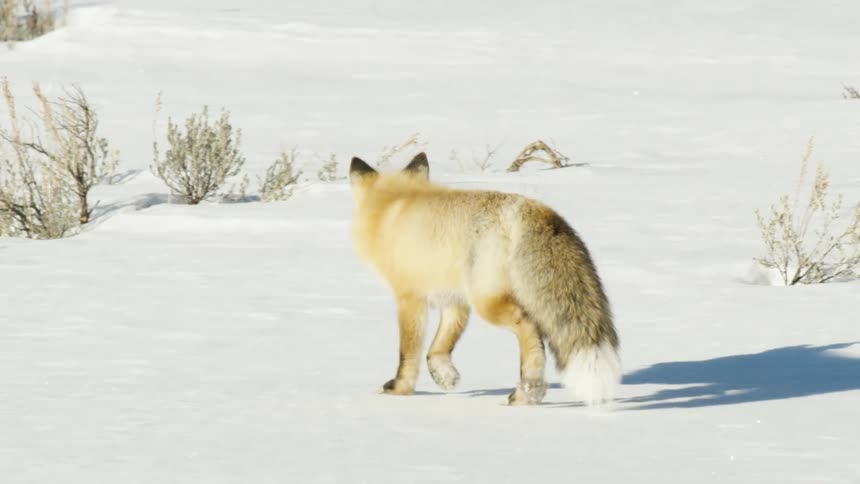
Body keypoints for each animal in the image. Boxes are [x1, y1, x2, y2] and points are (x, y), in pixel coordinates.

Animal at [348, 152, 620, 405]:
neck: (393, 206)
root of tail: (534, 210)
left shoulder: (410, 297)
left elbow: (408, 352)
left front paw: (400, 389)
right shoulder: (454, 299)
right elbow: (440, 346)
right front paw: (445, 375)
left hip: (488, 303)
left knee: (531, 328)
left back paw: (527, 392)